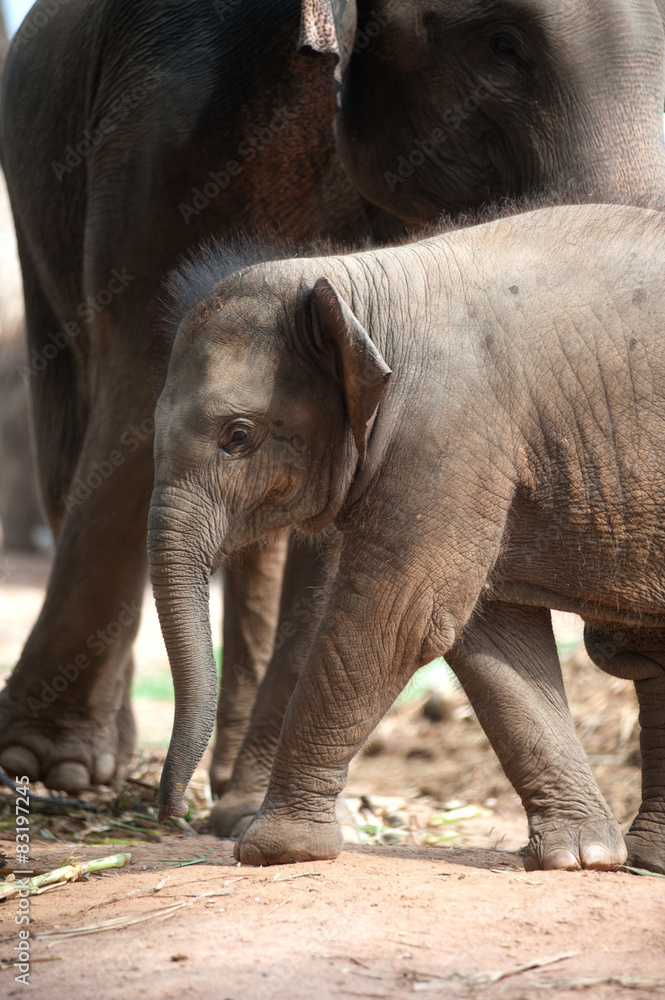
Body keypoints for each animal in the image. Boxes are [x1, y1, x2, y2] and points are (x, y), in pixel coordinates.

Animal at [2, 0, 665, 805]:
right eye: (500, 44)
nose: (167, 805)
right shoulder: (167, 118)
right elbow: (135, 385)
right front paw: (43, 766)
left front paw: (247, 806)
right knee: (73, 423)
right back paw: (81, 765)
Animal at [150, 201, 665, 874]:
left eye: (237, 435)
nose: (170, 815)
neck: (356, 284)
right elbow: (488, 631)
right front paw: (580, 858)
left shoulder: (446, 432)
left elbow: (401, 616)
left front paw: (273, 850)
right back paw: (648, 860)